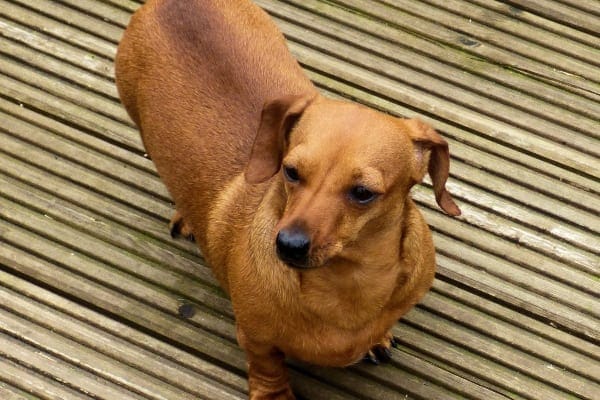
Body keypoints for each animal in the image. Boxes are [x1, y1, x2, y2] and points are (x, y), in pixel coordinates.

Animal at [117, 1, 462, 398]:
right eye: (291, 171)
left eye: (363, 193)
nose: (288, 246)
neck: (347, 283)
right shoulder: (256, 338)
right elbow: (267, 366)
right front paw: (274, 394)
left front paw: (378, 337)